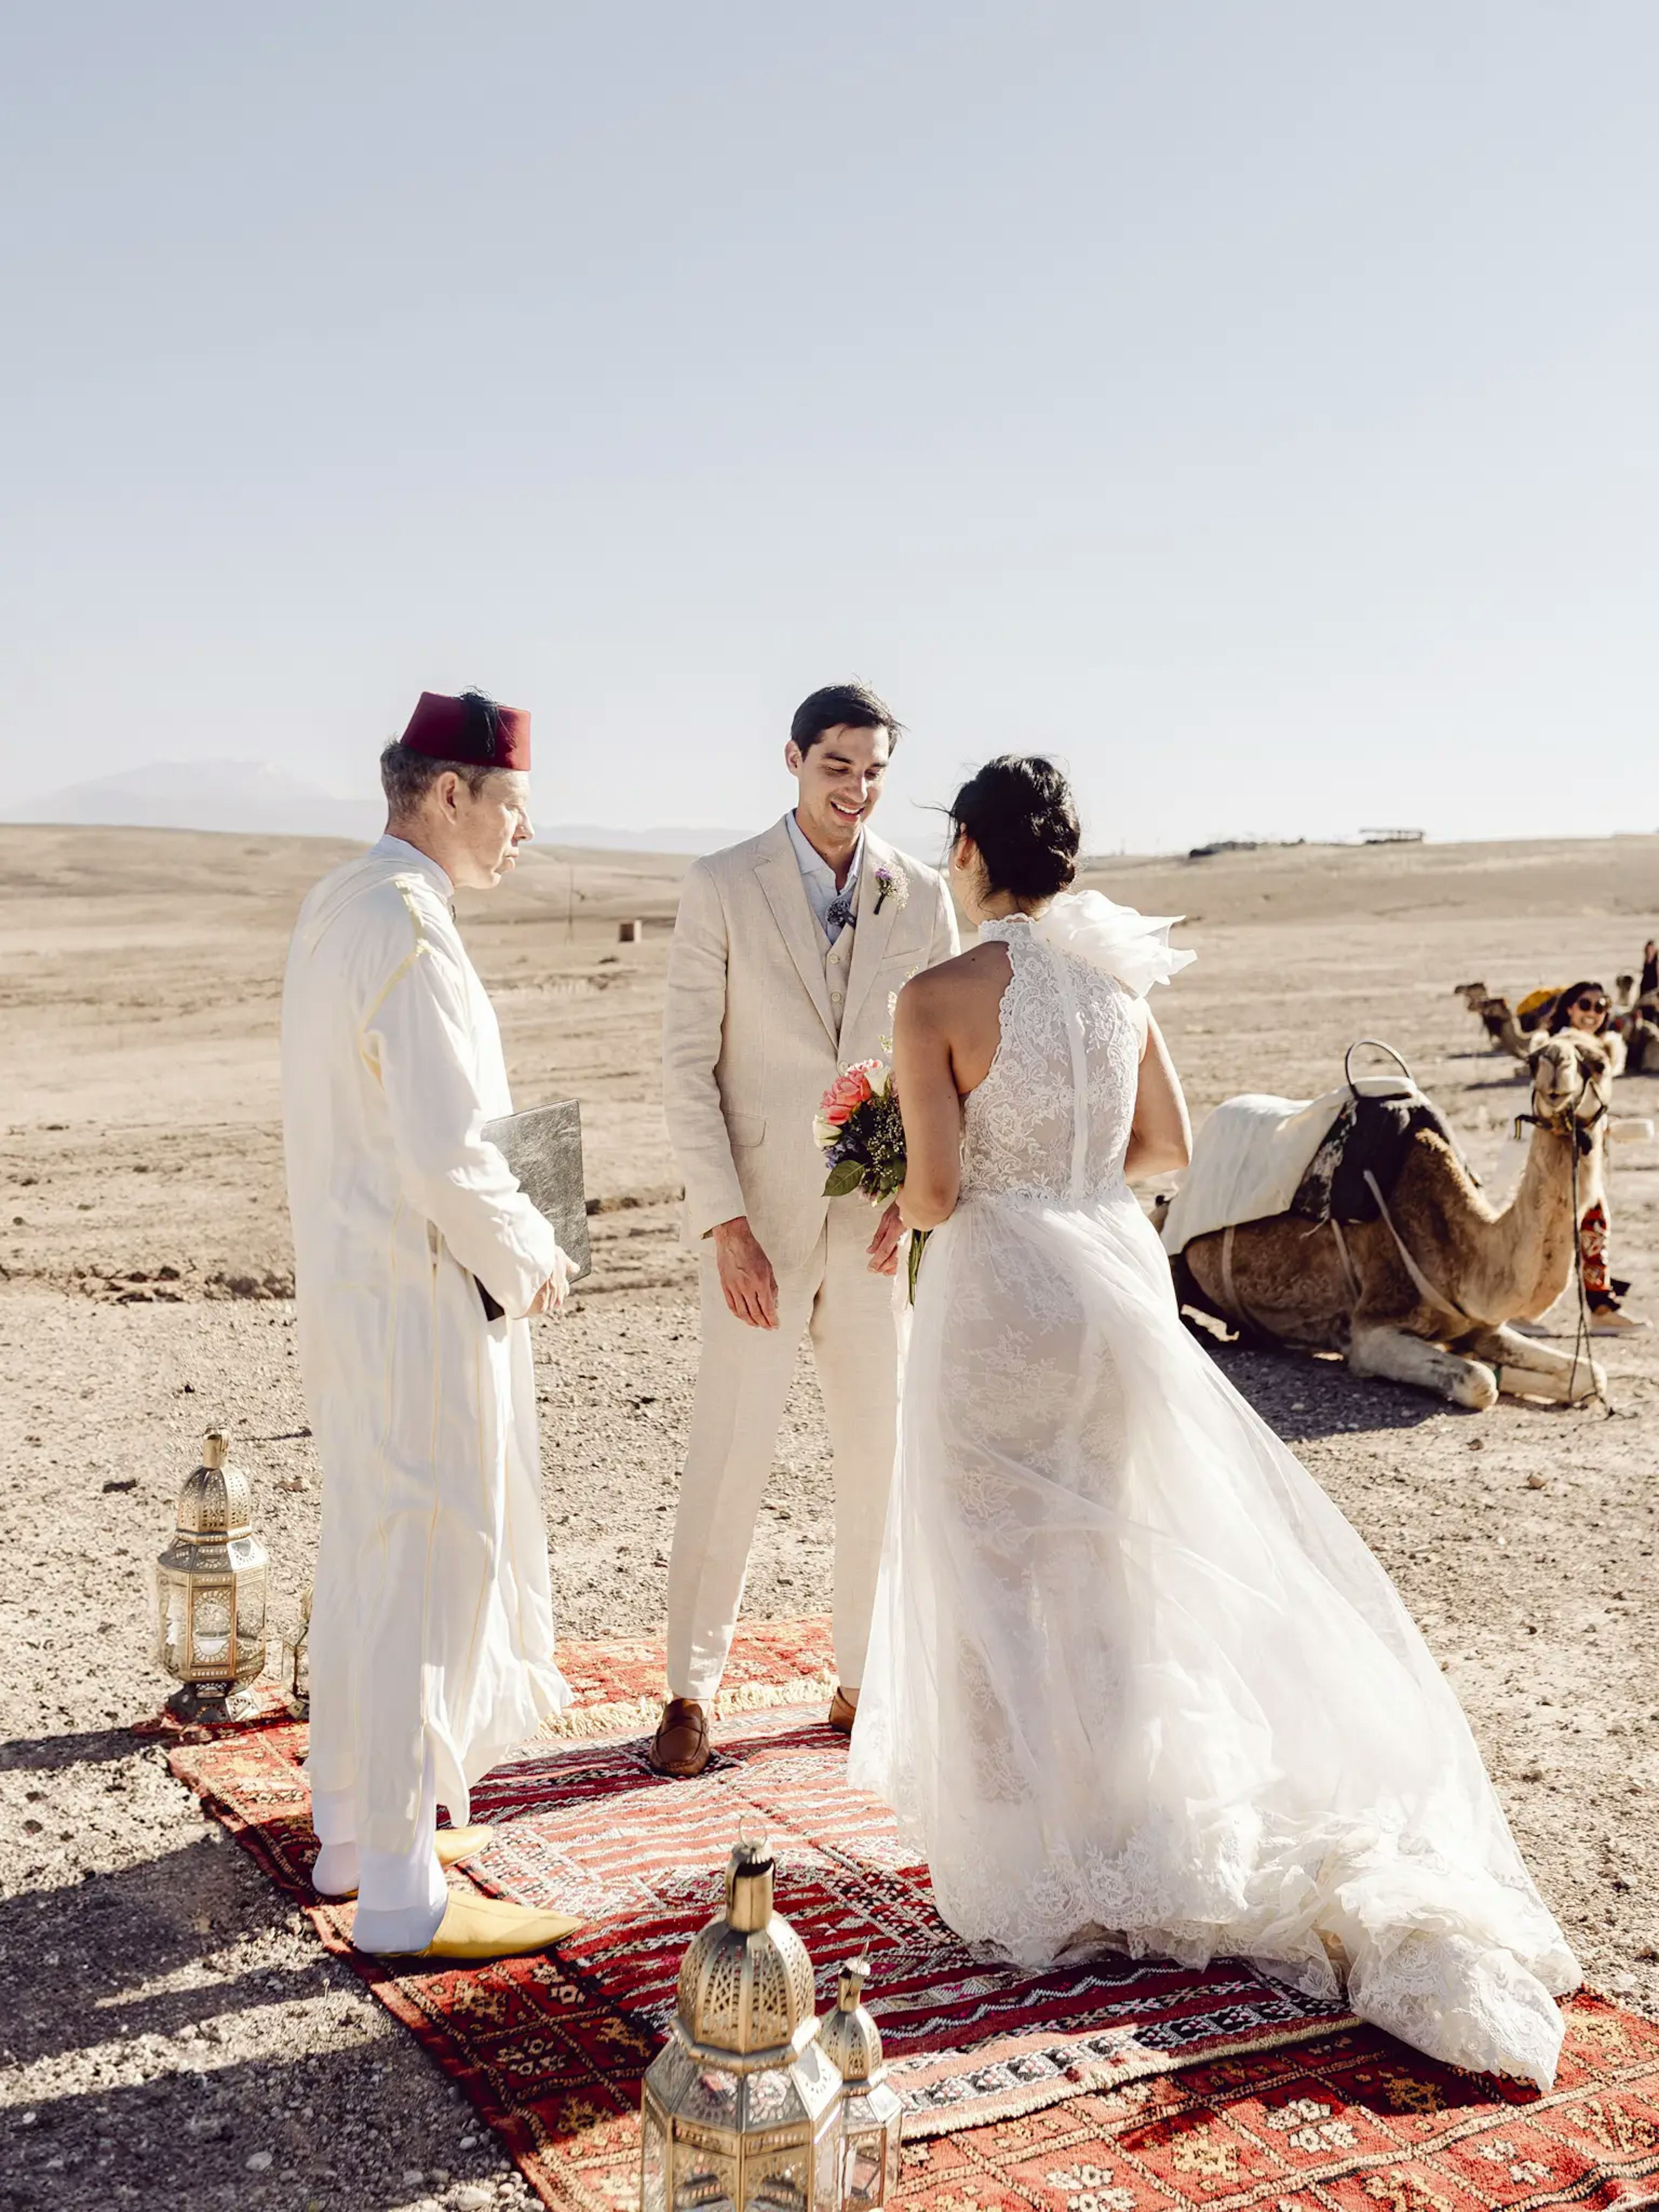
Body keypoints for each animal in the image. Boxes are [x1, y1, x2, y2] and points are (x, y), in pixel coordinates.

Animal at [1168, 1035, 1610, 1415]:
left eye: (1600, 1062)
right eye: (1533, 1060)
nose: (1556, 1073)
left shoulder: (1478, 1325)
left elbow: (1593, 1376)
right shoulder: (1373, 1328)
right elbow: (1481, 1382)